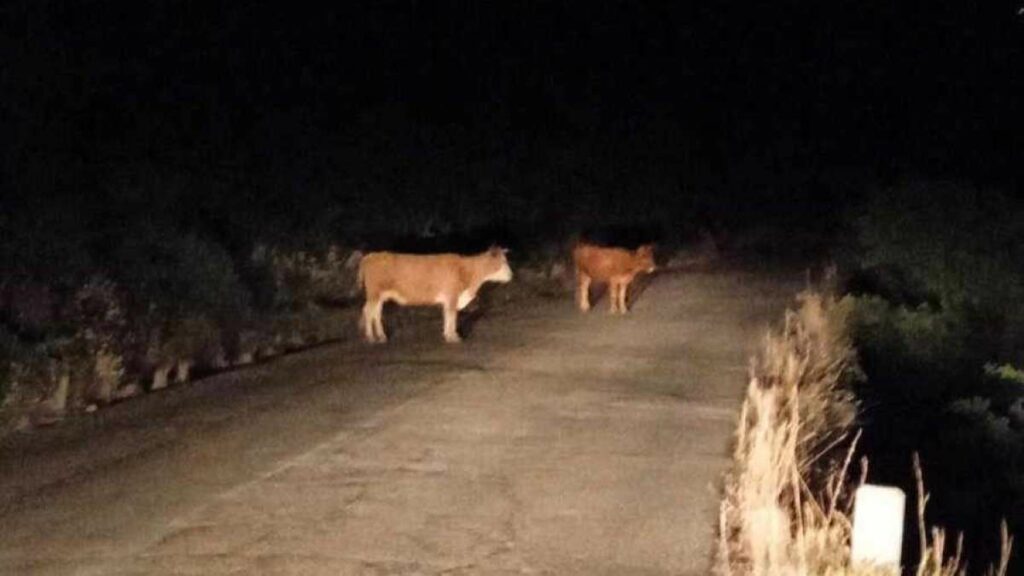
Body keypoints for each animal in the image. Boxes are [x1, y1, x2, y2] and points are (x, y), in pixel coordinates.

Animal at [356, 245, 512, 340]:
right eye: (503, 262)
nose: (511, 275)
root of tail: (370, 256)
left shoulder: (449, 299)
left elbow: (447, 316)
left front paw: (447, 334)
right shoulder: (452, 295)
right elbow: (452, 316)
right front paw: (453, 336)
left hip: (379, 296)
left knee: (375, 313)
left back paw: (381, 336)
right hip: (374, 293)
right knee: (368, 311)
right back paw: (371, 337)